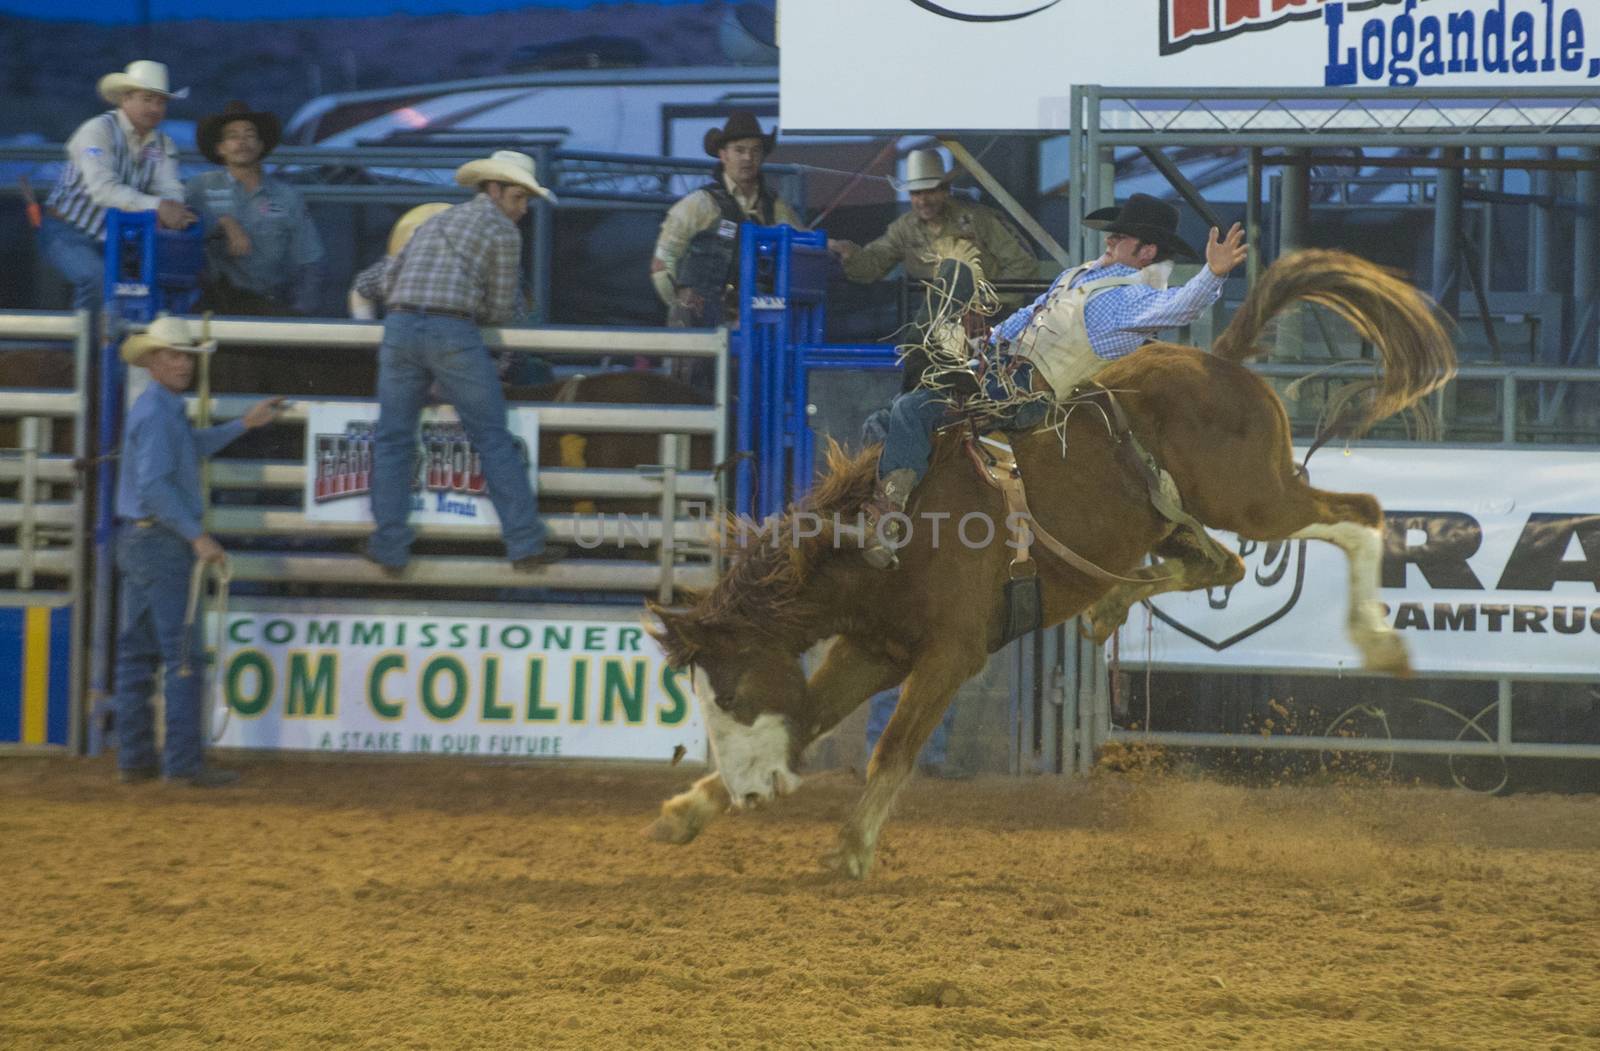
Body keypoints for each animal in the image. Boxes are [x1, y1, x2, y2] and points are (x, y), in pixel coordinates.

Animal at [643, 247, 1459, 876]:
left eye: (732, 690)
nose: (754, 794)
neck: (887, 543)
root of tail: (1218, 359)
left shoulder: (953, 652)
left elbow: (894, 749)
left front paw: (850, 848)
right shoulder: (869, 647)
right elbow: (809, 718)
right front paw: (685, 813)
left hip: (1256, 498)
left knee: (1358, 514)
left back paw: (1379, 642)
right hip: (1180, 520)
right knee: (1221, 564)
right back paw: (1110, 605)